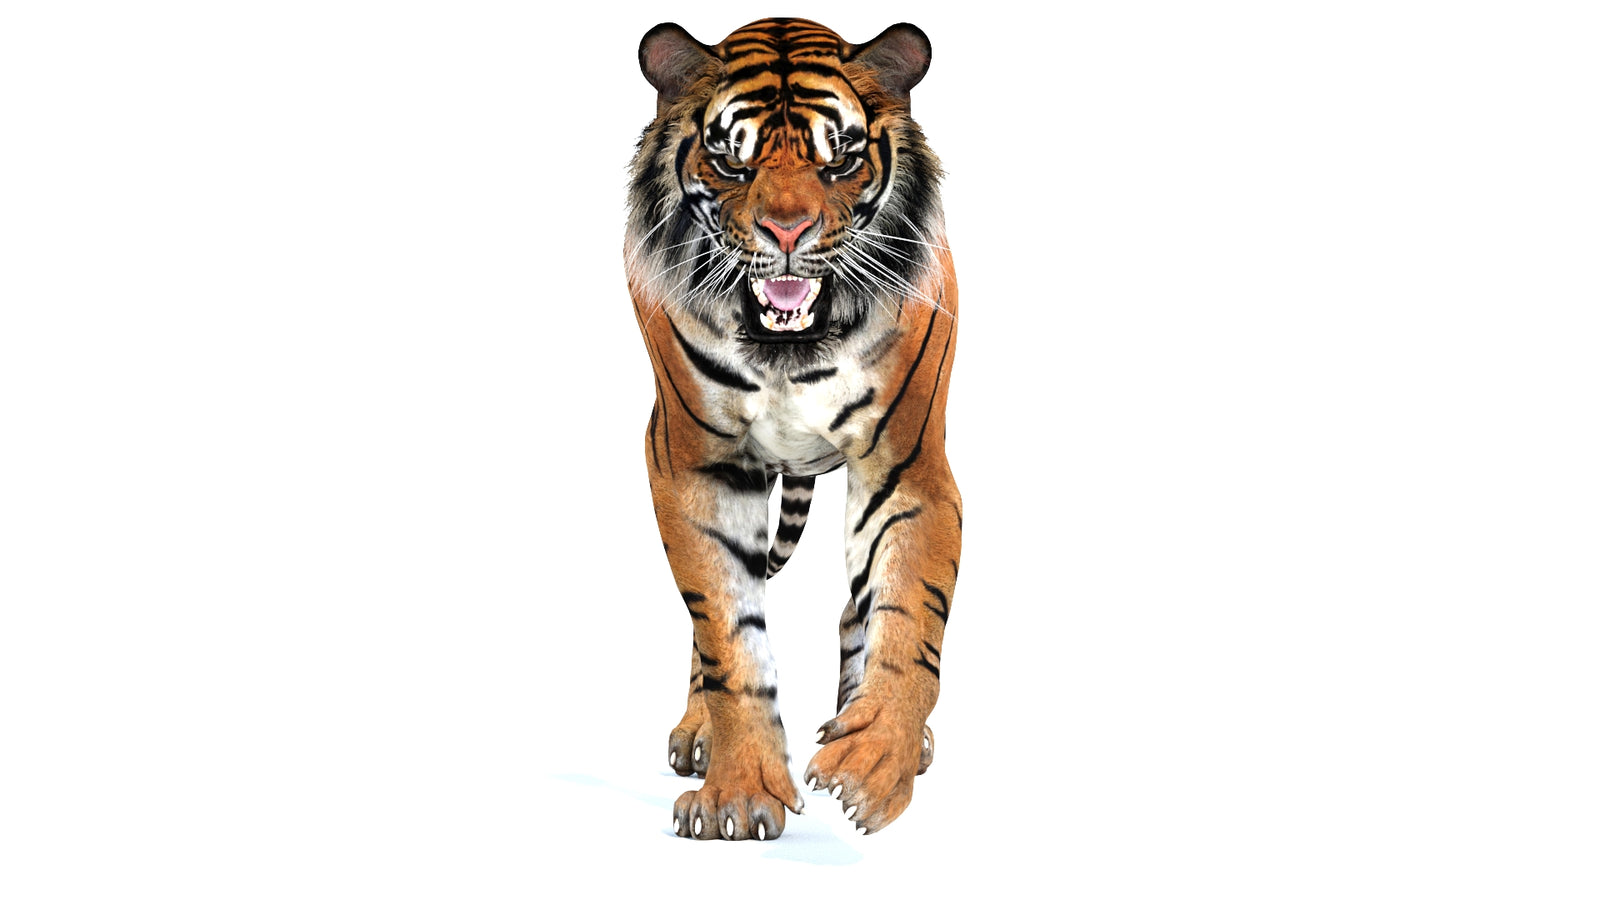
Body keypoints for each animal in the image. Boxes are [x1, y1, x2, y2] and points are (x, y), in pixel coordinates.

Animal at [625, 17, 960, 841]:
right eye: (730, 161)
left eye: (838, 159)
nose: (787, 229)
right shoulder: (692, 468)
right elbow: (728, 638)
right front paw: (738, 792)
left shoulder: (908, 467)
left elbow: (907, 618)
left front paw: (874, 760)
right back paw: (699, 734)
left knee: (856, 609)